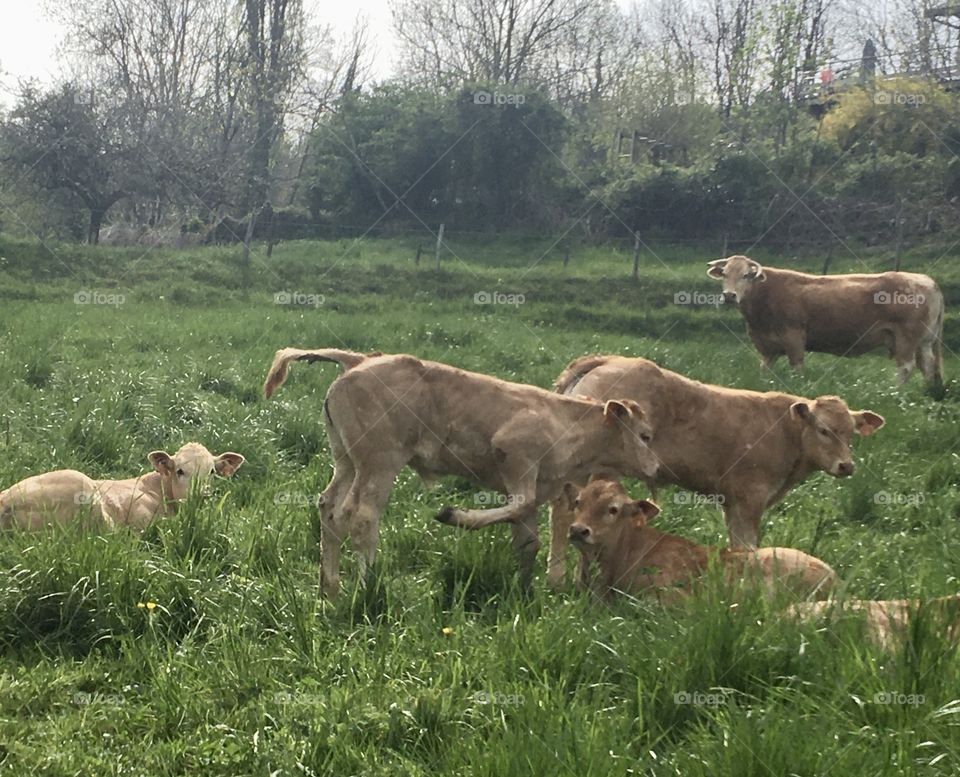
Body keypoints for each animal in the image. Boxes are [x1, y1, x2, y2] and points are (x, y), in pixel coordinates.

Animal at [261, 347, 659, 598]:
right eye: (645, 435)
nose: (656, 466)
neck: (564, 421)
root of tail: (359, 360)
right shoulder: (516, 456)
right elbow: (519, 506)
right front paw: (454, 515)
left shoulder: (537, 485)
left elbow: (528, 539)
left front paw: (524, 592)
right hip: (379, 463)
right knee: (360, 515)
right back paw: (368, 585)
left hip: (345, 460)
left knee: (329, 508)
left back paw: (329, 589)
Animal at [546, 354, 884, 588]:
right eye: (824, 430)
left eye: (851, 434)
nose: (846, 465)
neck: (786, 431)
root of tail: (606, 359)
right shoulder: (750, 499)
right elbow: (747, 546)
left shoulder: (731, 502)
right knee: (565, 512)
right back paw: (563, 577)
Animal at [706, 255, 944, 386]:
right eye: (725, 273)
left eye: (746, 275)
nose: (729, 295)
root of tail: (927, 281)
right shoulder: (766, 345)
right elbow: (765, 370)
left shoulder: (794, 337)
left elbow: (797, 367)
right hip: (924, 342)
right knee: (927, 366)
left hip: (906, 337)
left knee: (906, 366)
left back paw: (894, 392)